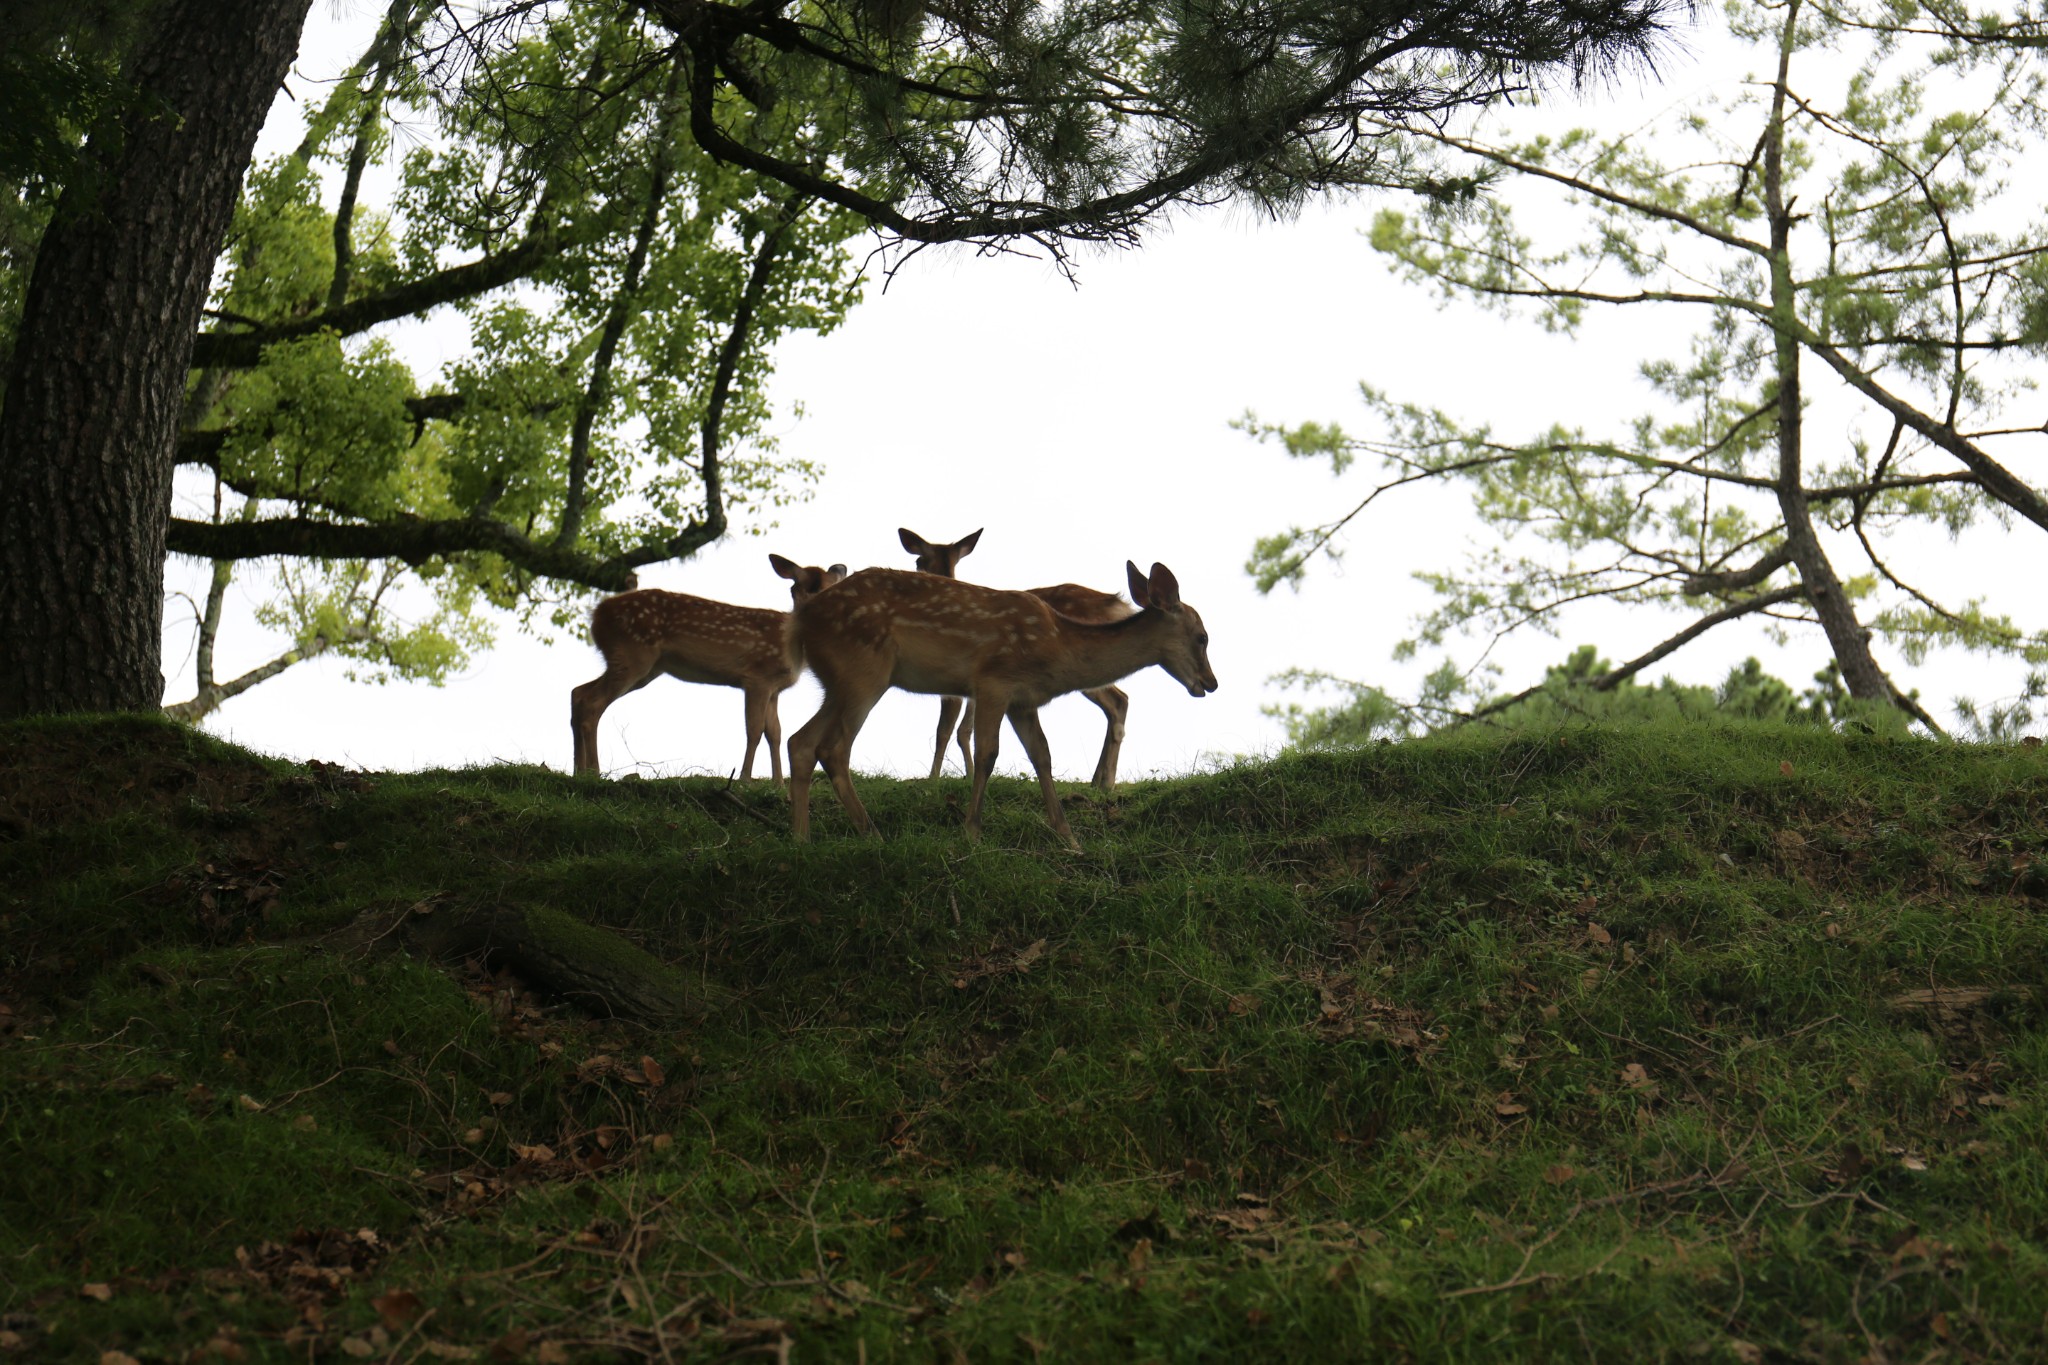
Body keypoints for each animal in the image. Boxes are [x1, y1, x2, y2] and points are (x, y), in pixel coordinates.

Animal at [565, 552, 843, 785]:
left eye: (831, 588)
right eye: (800, 587)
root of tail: (596, 615)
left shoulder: (775, 688)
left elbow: (774, 733)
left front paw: (778, 784)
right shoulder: (757, 677)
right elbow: (753, 730)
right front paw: (744, 780)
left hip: (640, 666)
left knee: (579, 692)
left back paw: (579, 771)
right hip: (633, 653)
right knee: (592, 702)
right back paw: (594, 772)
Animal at [786, 560, 1212, 847]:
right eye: (1203, 637)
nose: (1211, 683)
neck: (1058, 649)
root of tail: (801, 619)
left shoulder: (1023, 700)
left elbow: (1042, 755)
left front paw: (1068, 837)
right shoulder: (992, 681)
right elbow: (987, 752)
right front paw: (972, 831)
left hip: (837, 682)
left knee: (801, 741)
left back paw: (801, 839)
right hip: (865, 670)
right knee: (833, 747)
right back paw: (871, 833)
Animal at [905, 527, 1146, 794]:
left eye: (918, 561)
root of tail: (1118, 603)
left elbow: (944, 730)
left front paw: (932, 779)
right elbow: (964, 730)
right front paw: (968, 775)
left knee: (1118, 701)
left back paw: (1105, 781)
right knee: (1119, 702)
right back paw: (1098, 780)